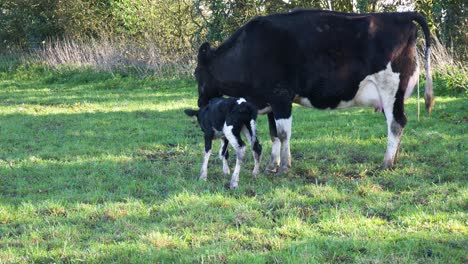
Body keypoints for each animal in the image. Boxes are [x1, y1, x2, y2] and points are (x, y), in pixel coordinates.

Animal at [194, 9, 436, 173]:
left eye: (196, 74)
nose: (199, 103)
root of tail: (403, 15)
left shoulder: (281, 96)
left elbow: (283, 133)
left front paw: (284, 167)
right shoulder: (271, 100)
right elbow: (274, 134)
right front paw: (273, 165)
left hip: (391, 88)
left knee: (396, 123)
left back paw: (386, 163)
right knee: (398, 123)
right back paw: (394, 160)